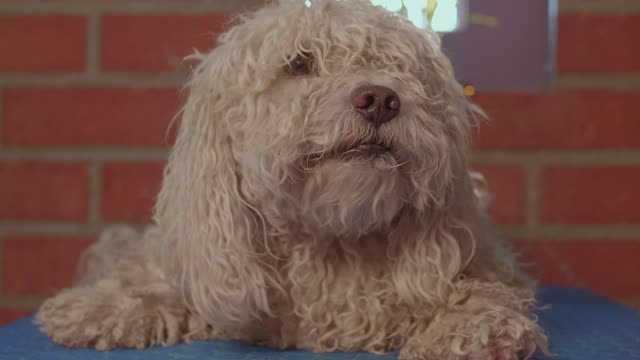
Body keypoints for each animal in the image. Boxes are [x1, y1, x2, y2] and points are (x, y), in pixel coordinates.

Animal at [37, 1, 552, 358]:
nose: (380, 98)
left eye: (397, 67)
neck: (330, 242)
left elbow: (478, 294)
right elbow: (157, 284)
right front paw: (99, 307)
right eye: (300, 63)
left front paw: (474, 329)